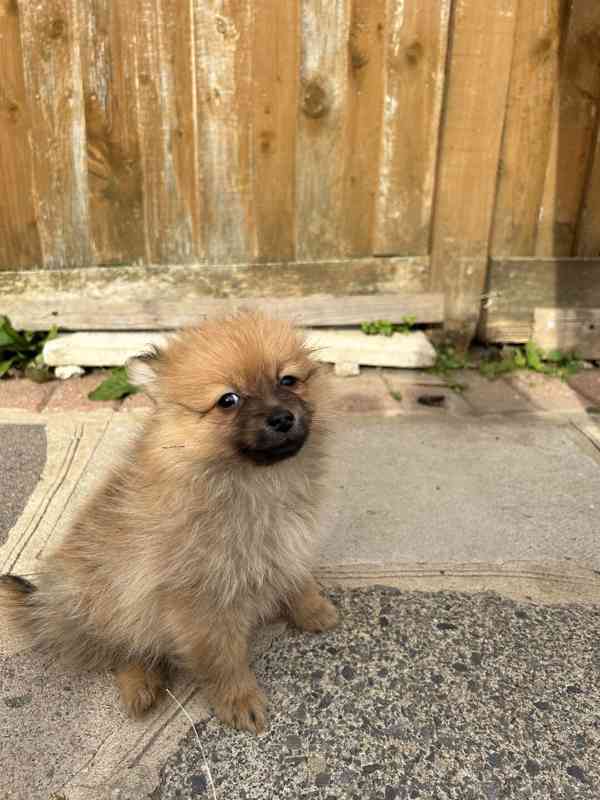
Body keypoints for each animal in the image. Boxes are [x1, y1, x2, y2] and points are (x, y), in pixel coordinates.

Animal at [0, 310, 338, 732]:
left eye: (288, 380)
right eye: (228, 400)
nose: (282, 417)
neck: (258, 482)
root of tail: (47, 606)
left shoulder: (288, 544)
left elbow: (297, 580)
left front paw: (314, 610)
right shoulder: (197, 599)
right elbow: (222, 658)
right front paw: (238, 699)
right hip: (108, 599)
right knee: (121, 648)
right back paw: (141, 682)